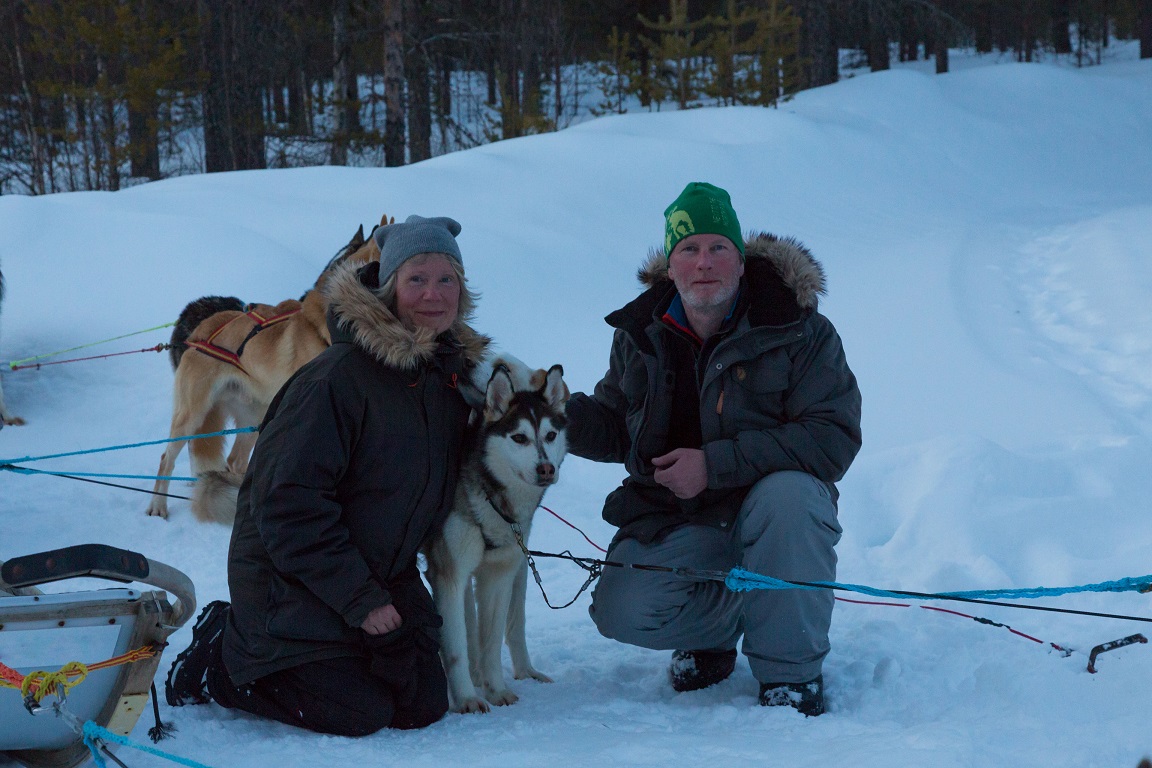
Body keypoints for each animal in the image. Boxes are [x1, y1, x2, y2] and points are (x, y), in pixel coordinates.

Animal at [146, 216, 389, 522]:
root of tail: (199, 330)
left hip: (253, 418)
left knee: (235, 462)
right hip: (192, 416)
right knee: (166, 458)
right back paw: (158, 505)